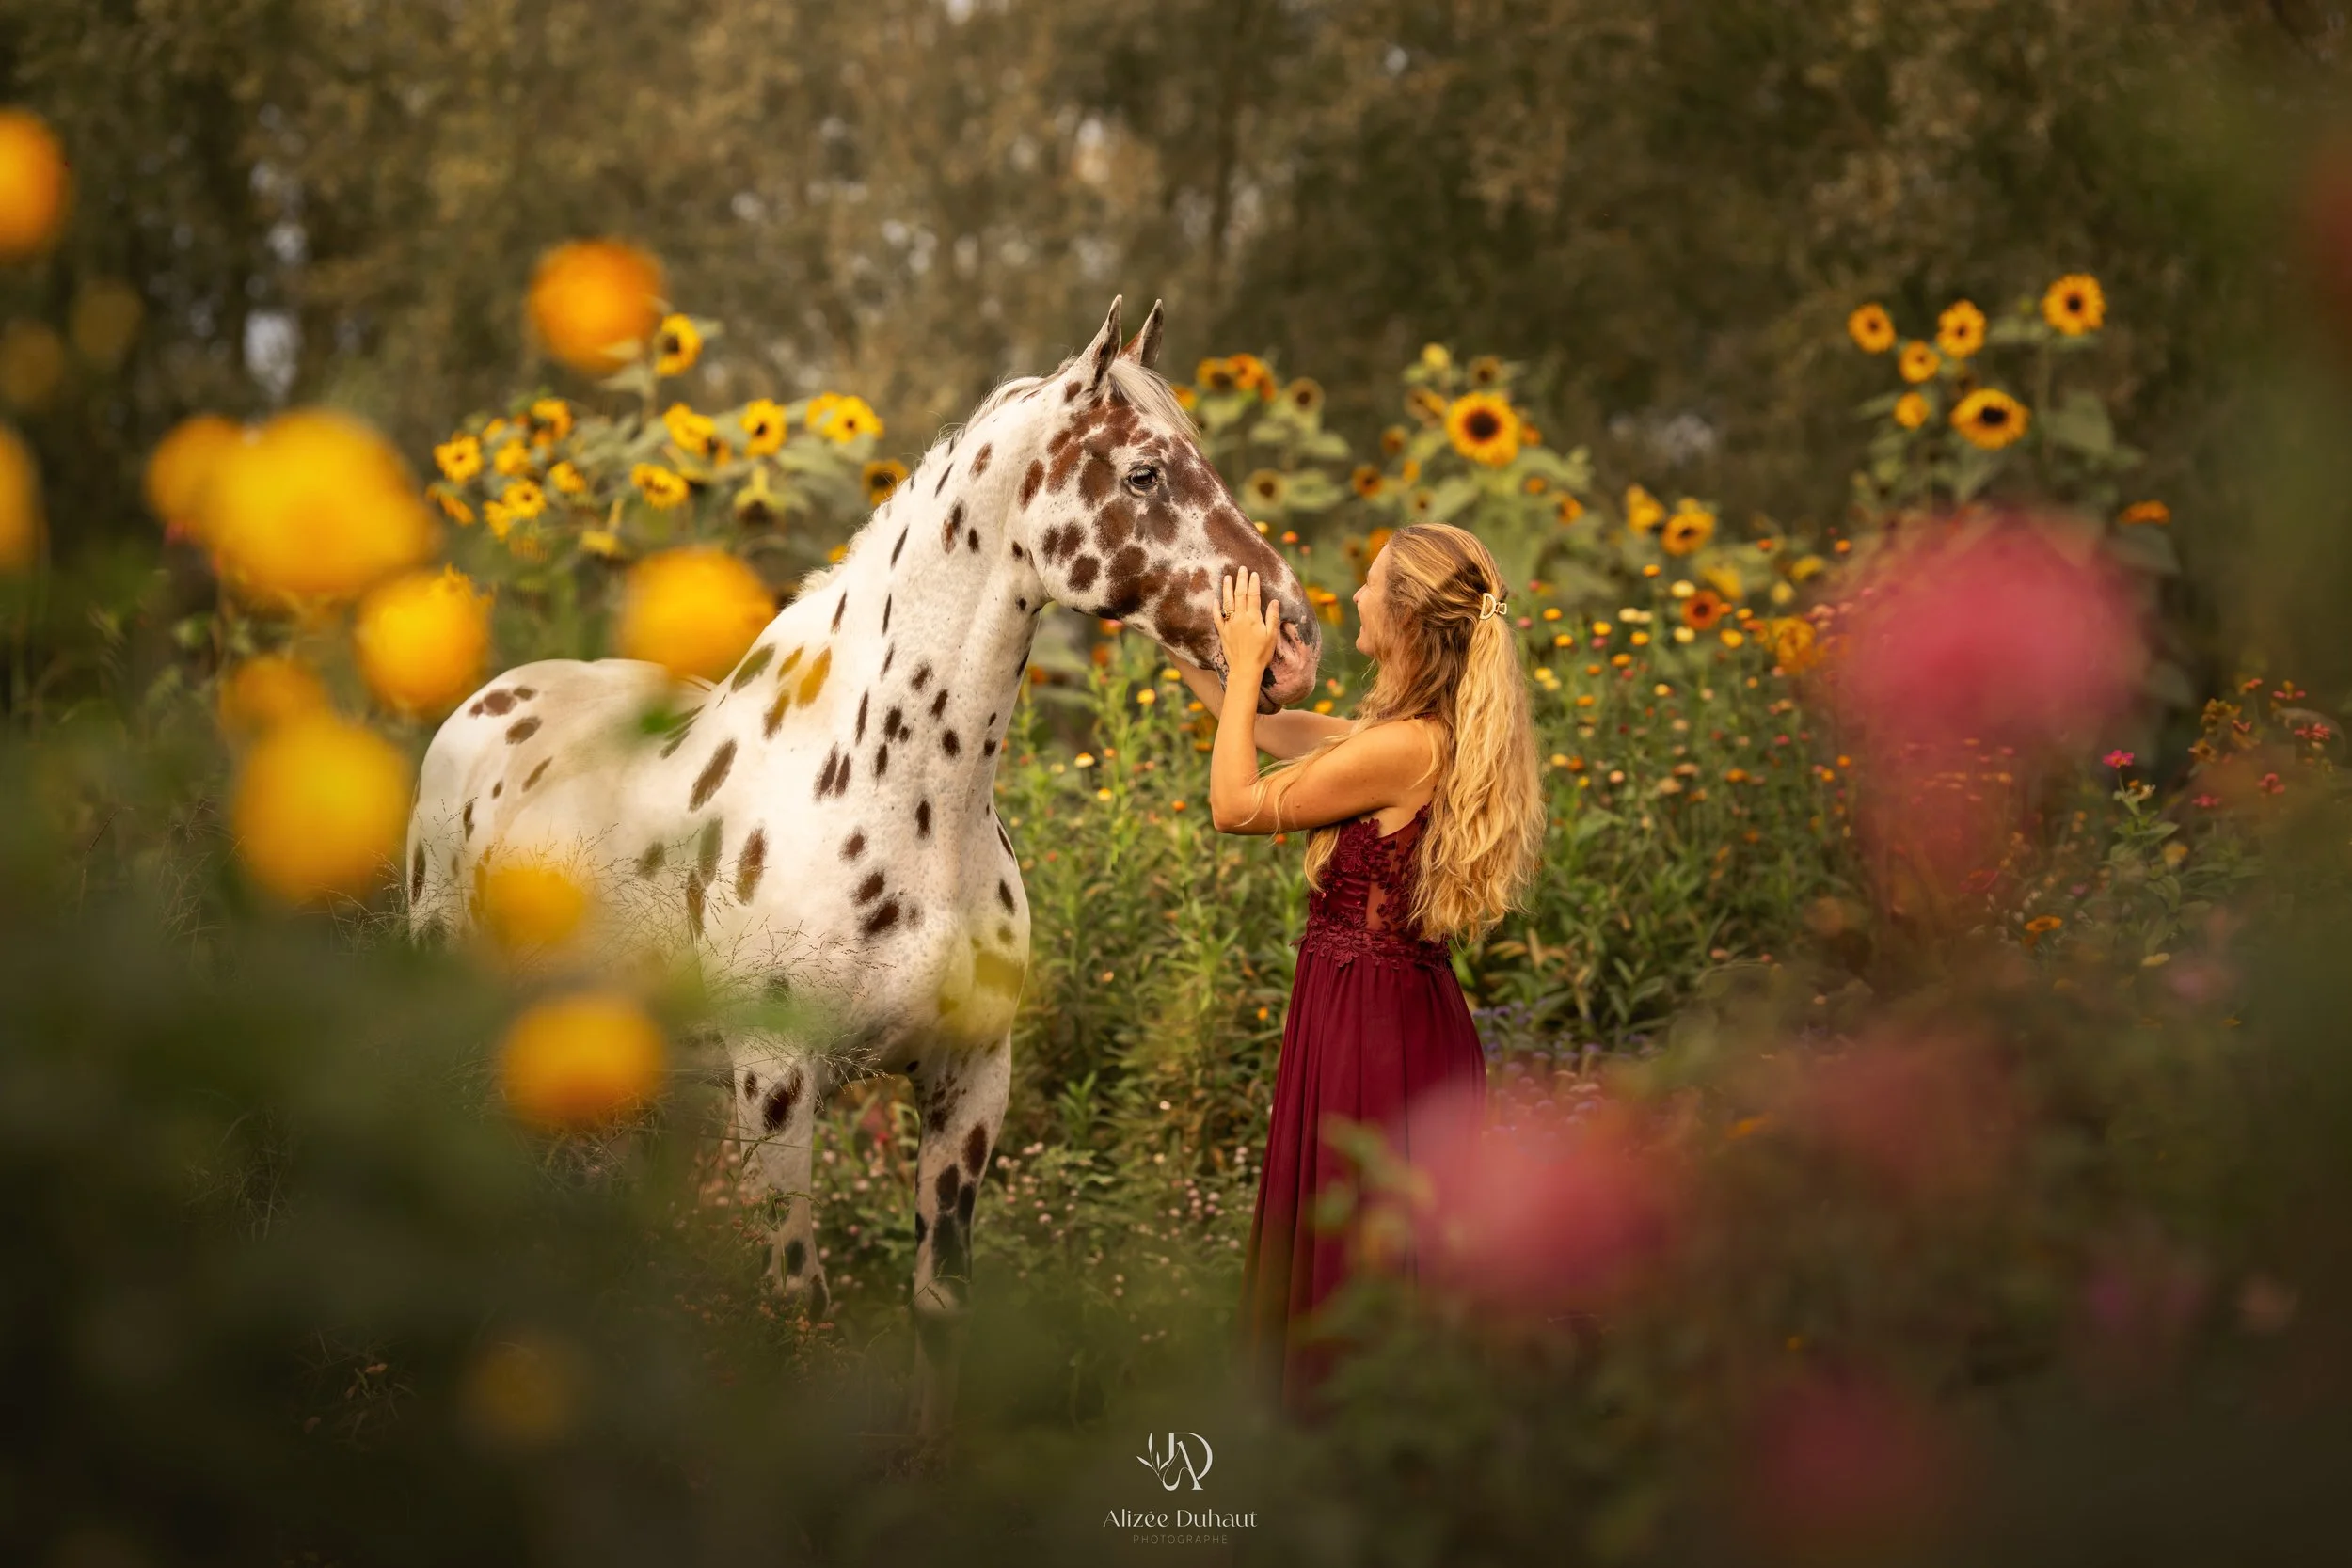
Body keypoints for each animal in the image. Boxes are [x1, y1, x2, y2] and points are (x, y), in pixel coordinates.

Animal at [405, 298, 1321, 1437]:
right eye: (1145, 472)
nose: (1296, 639)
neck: (902, 802)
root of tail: (483, 705)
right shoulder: (774, 1080)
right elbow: (796, 1298)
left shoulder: (970, 1078)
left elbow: (937, 1299)